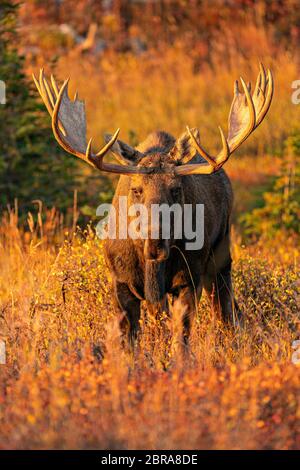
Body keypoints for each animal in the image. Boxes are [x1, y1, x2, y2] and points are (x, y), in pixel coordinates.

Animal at [33, 65, 274, 346]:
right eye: (136, 189)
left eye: (176, 188)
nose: (156, 241)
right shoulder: (120, 282)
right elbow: (130, 339)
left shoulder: (188, 279)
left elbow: (180, 339)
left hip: (221, 251)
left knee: (225, 309)